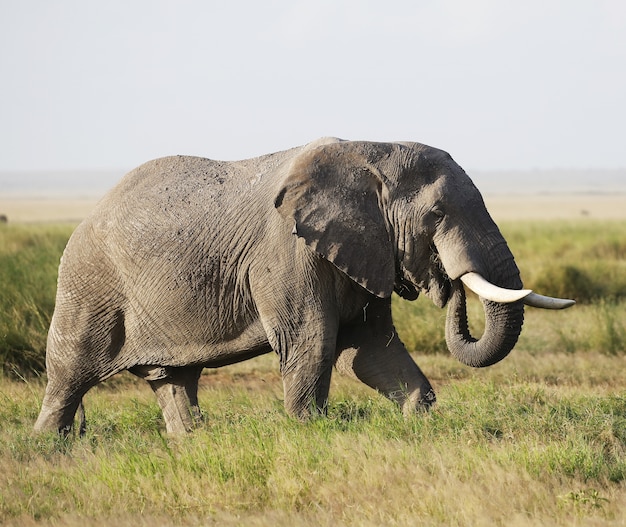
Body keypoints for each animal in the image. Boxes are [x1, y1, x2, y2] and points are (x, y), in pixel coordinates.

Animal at [33, 138, 572, 436]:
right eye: (437, 215)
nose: (448, 283)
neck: (371, 149)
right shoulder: (286, 252)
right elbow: (314, 342)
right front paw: (309, 431)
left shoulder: (362, 247)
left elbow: (372, 351)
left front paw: (419, 421)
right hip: (89, 282)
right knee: (67, 373)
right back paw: (47, 447)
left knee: (174, 379)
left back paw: (190, 443)